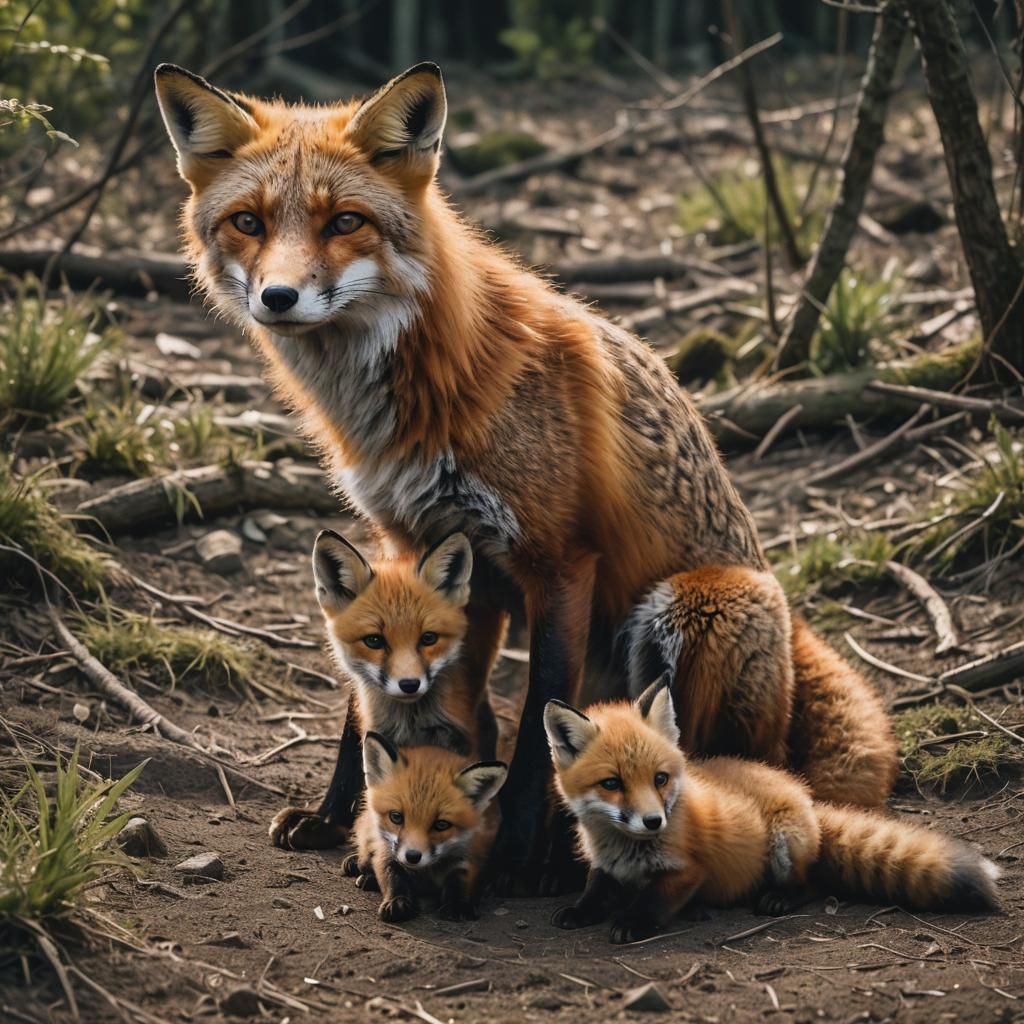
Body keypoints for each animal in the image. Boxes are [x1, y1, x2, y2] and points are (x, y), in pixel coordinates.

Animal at [345, 732, 507, 923]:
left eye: (441, 824)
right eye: (396, 817)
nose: (412, 856)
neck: (425, 872)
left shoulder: (469, 853)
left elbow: (460, 881)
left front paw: (457, 904)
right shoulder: (386, 850)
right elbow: (393, 877)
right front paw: (397, 901)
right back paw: (365, 874)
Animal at [544, 679, 1000, 944]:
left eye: (660, 779)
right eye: (612, 784)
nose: (654, 821)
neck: (627, 848)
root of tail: (805, 796)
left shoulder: (688, 871)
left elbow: (654, 901)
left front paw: (632, 921)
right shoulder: (604, 865)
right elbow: (595, 888)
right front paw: (581, 911)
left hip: (786, 846)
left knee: (813, 884)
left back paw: (778, 898)